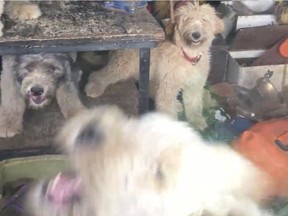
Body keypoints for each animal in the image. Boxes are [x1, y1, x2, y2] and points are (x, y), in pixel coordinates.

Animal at [84, 2, 224, 130]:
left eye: (204, 20)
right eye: (187, 19)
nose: (196, 35)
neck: (188, 55)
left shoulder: (194, 85)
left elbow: (194, 105)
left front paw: (197, 122)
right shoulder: (168, 87)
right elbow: (166, 107)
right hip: (124, 67)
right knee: (98, 74)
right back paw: (94, 87)